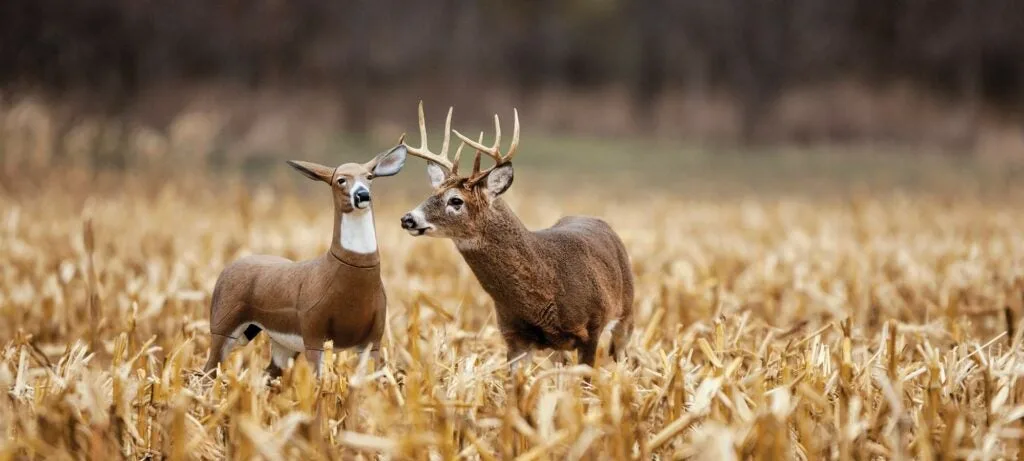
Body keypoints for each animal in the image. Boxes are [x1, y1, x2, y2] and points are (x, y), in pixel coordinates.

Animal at [201, 144, 405, 379]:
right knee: (207, 370)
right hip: (222, 322)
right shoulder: (313, 329)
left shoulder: (374, 338)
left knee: (268, 373)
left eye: (369, 177)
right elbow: (317, 381)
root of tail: (227, 266)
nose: (362, 195)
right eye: (340, 180)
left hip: (281, 342)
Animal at [397, 103, 630, 370]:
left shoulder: (592, 327)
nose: (408, 218)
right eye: (432, 193)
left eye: (456, 200)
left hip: (626, 312)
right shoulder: (513, 336)